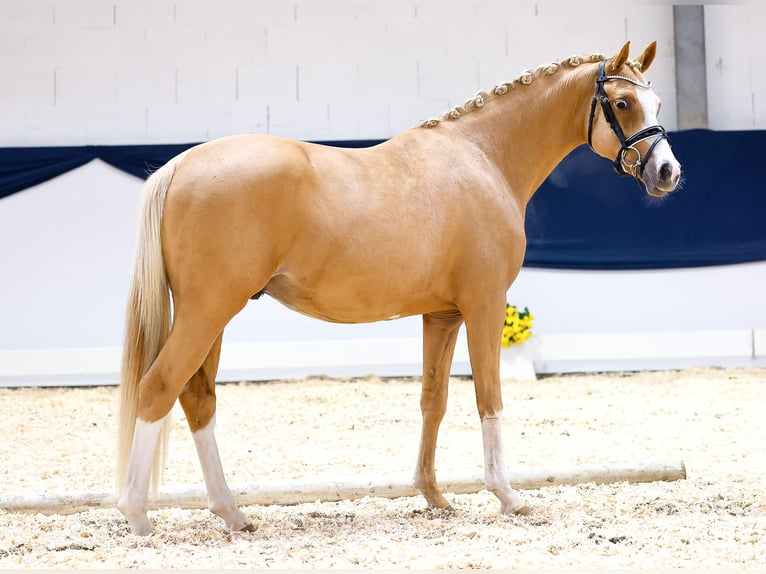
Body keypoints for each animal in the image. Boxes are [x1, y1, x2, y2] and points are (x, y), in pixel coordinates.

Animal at [118, 39, 684, 536]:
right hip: (209, 311)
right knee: (159, 387)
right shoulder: (484, 305)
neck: (483, 157)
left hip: (213, 316)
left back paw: (232, 513)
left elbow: (433, 400)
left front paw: (433, 496)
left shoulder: (442, 315)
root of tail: (181, 164)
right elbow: (489, 397)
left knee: (198, 398)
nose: (667, 172)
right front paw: (507, 496)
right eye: (622, 102)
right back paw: (138, 515)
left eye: (656, 101)